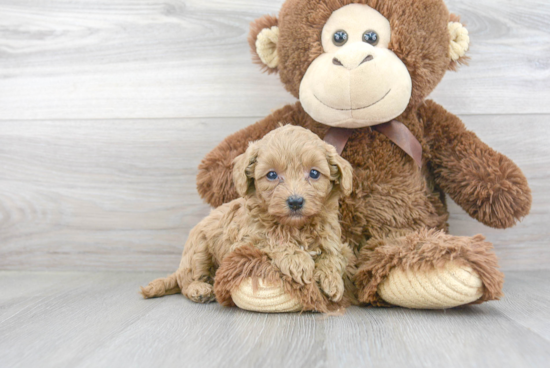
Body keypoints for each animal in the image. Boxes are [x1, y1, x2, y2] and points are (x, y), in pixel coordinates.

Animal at [141, 125, 354, 306]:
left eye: (314, 173)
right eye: (271, 175)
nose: (295, 201)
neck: (294, 226)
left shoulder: (333, 239)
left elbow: (334, 255)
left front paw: (332, 279)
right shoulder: (243, 243)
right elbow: (270, 239)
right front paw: (298, 259)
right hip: (198, 249)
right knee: (187, 281)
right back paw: (199, 289)